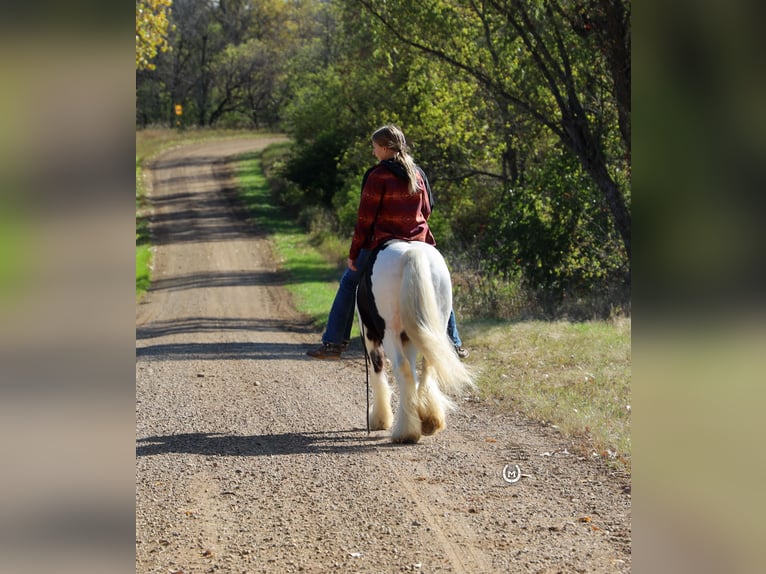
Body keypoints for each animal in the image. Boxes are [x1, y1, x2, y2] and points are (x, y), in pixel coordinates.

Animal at [358, 240, 476, 446]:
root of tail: (411, 252)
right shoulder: (409, 338)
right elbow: (414, 371)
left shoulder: (370, 335)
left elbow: (378, 371)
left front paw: (380, 419)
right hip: (431, 326)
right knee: (428, 364)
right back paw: (430, 420)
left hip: (389, 333)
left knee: (401, 367)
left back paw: (405, 431)